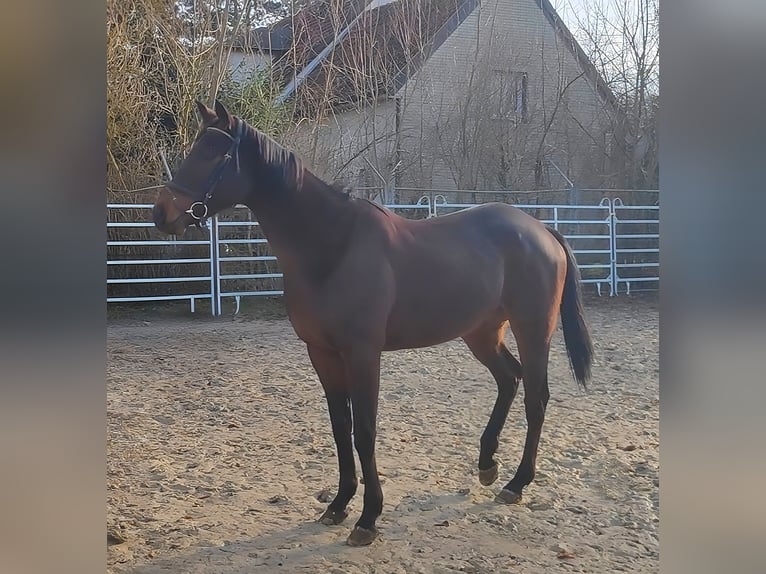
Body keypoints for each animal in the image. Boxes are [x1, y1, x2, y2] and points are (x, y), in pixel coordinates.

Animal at [152, 100, 593, 547]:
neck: (334, 246)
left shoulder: (363, 354)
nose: (161, 213)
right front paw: (338, 505)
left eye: (212, 153)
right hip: (482, 333)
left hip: (532, 329)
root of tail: (542, 230)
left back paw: (517, 483)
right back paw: (487, 465)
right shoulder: (322, 353)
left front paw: (368, 518)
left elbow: (364, 430)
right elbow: (339, 427)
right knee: (509, 379)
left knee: (536, 398)